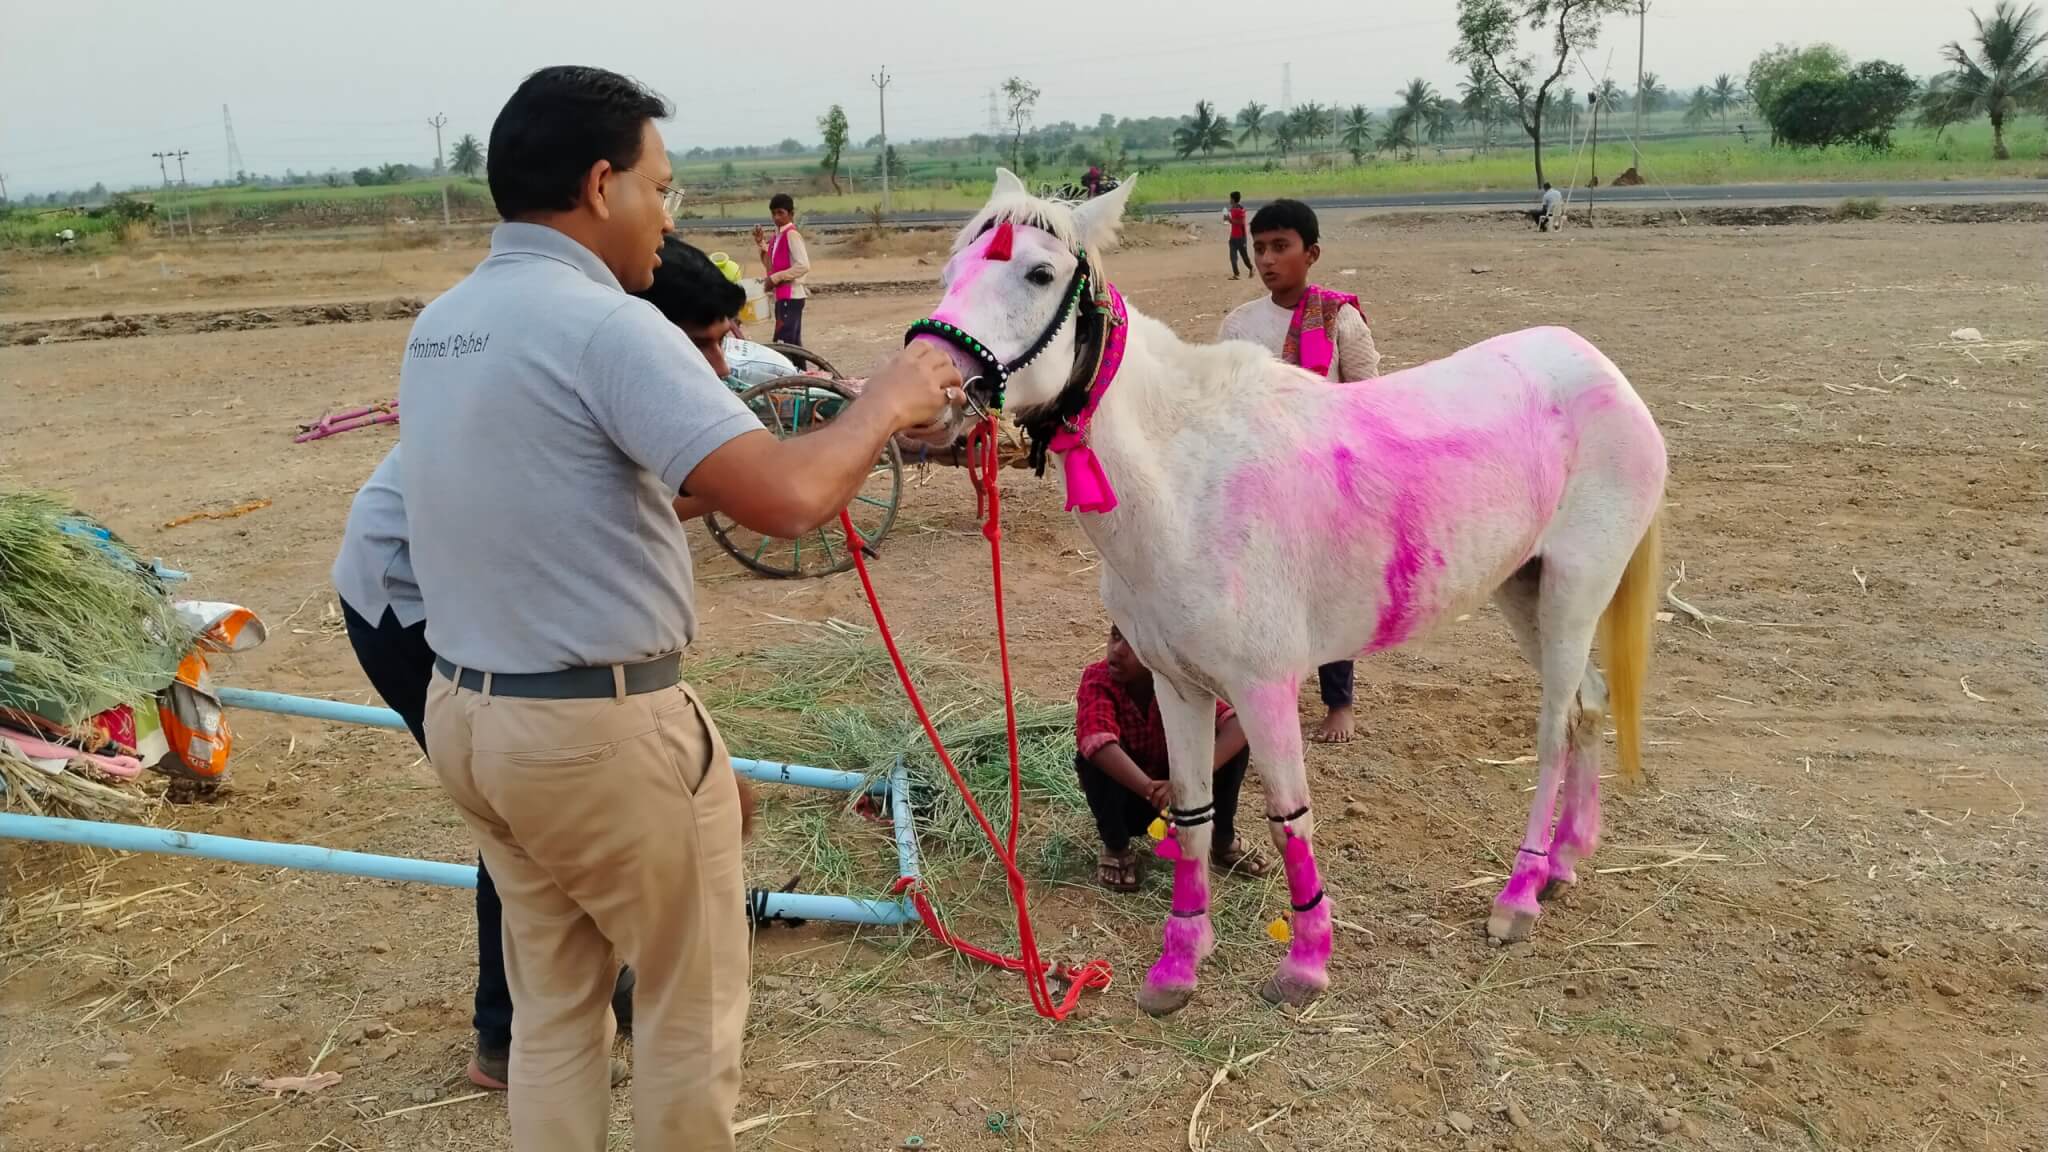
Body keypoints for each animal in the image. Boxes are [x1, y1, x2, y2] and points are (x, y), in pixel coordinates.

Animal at [913, 172, 1662, 1012]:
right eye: (951, 272)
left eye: (1039, 274)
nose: (930, 387)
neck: (1184, 479)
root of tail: (1600, 367)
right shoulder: (1177, 686)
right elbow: (1193, 814)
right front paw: (1179, 965)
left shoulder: (1265, 688)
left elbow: (1287, 818)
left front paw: (1305, 963)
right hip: (1523, 591)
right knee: (1590, 706)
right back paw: (1565, 864)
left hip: (1574, 591)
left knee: (1556, 731)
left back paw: (1519, 896)